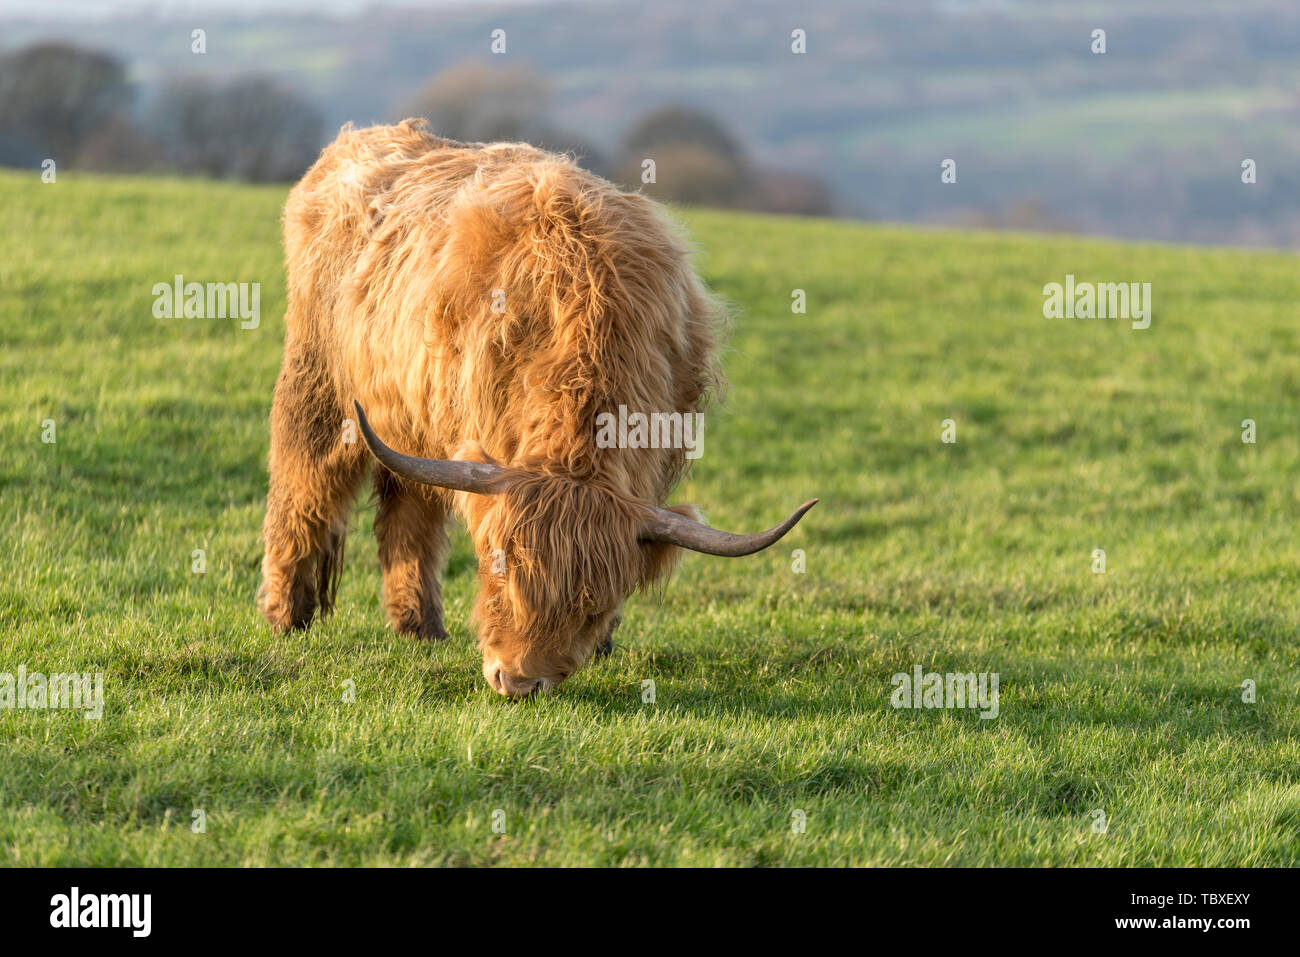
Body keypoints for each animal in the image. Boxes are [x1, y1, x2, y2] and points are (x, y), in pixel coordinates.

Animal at [258, 123, 816, 696]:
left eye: (590, 610)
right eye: (503, 576)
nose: (517, 682)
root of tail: (362, 139)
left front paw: (605, 645)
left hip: (411, 423)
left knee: (410, 518)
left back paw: (420, 628)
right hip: (317, 389)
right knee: (304, 490)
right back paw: (285, 616)